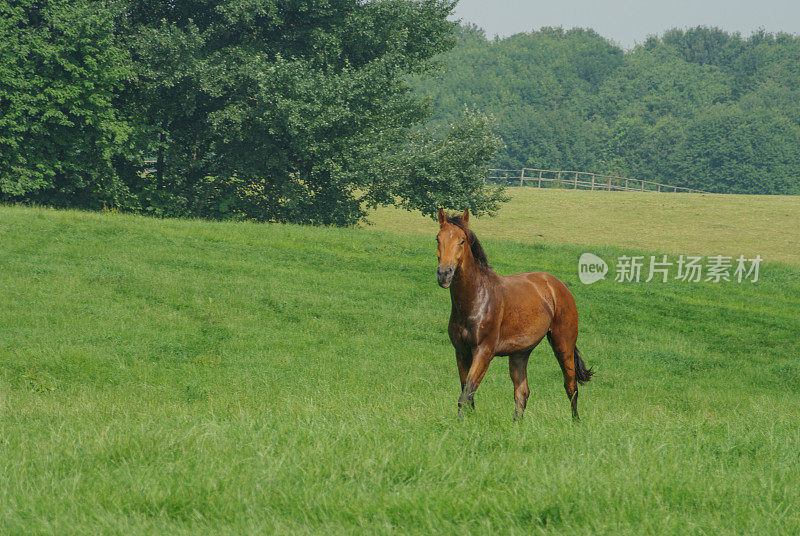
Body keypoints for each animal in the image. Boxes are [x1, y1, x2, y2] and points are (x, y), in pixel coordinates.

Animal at [434, 207, 592, 420]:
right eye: (438, 239)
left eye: (462, 240)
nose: (444, 273)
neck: (476, 299)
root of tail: (558, 286)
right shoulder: (461, 352)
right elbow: (468, 393)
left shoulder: (484, 351)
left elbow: (466, 394)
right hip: (520, 353)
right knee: (522, 391)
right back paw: (517, 422)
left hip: (563, 343)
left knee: (571, 387)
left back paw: (575, 422)